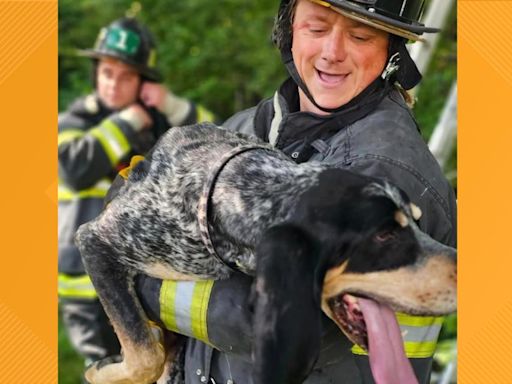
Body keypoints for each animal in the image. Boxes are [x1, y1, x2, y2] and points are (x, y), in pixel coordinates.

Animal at [76, 122, 456, 384]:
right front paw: (100, 372)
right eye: (384, 234)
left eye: (418, 222)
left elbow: (148, 354)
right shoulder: (95, 241)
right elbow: (145, 355)